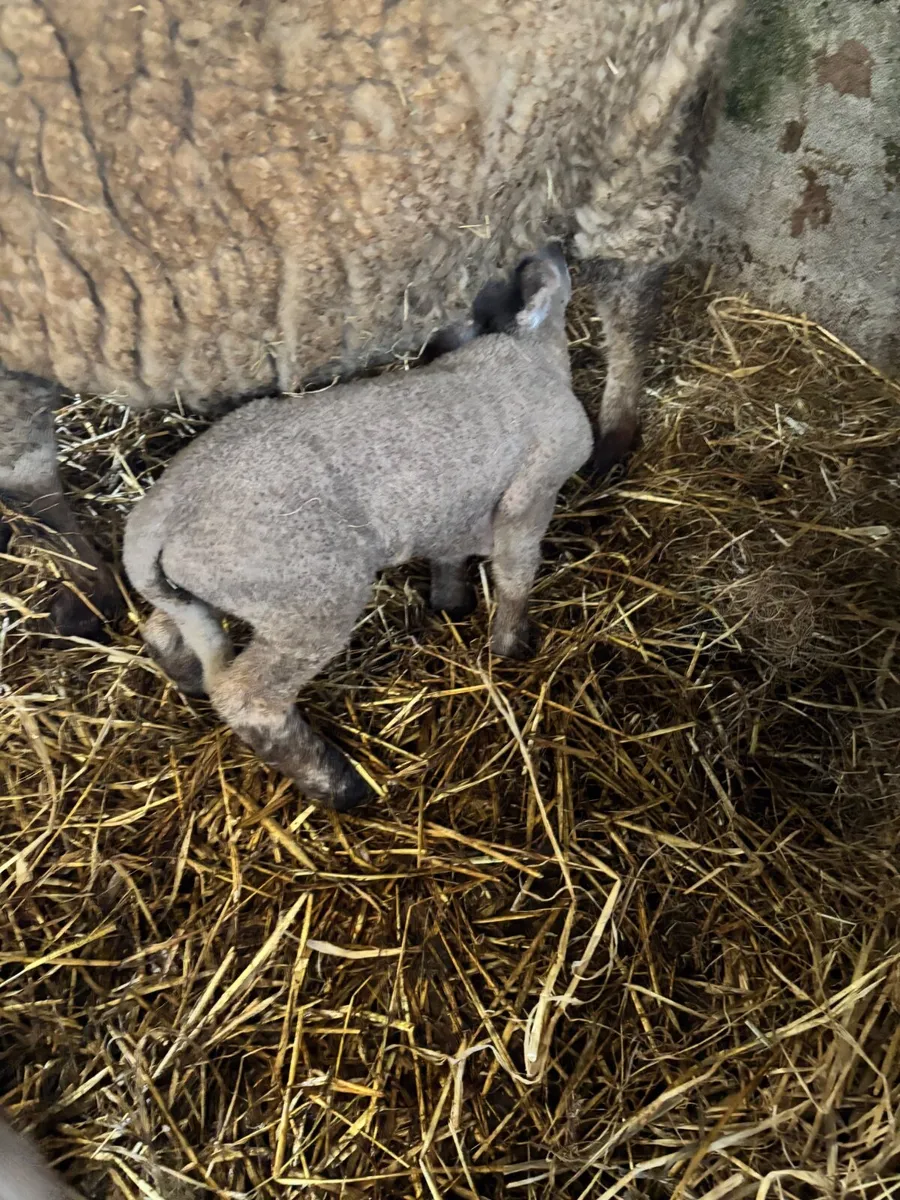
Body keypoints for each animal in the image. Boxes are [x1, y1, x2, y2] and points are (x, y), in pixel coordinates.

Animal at [123, 245, 592, 809]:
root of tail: (161, 512)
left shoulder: (451, 510)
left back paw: (189, 680)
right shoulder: (532, 492)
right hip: (308, 600)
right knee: (250, 699)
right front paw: (510, 646)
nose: (553, 249)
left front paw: (451, 604)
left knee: (164, 630)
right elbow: (516, 573)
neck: (528, 358)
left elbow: (450, 557)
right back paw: (337, 785)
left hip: (197, 590)